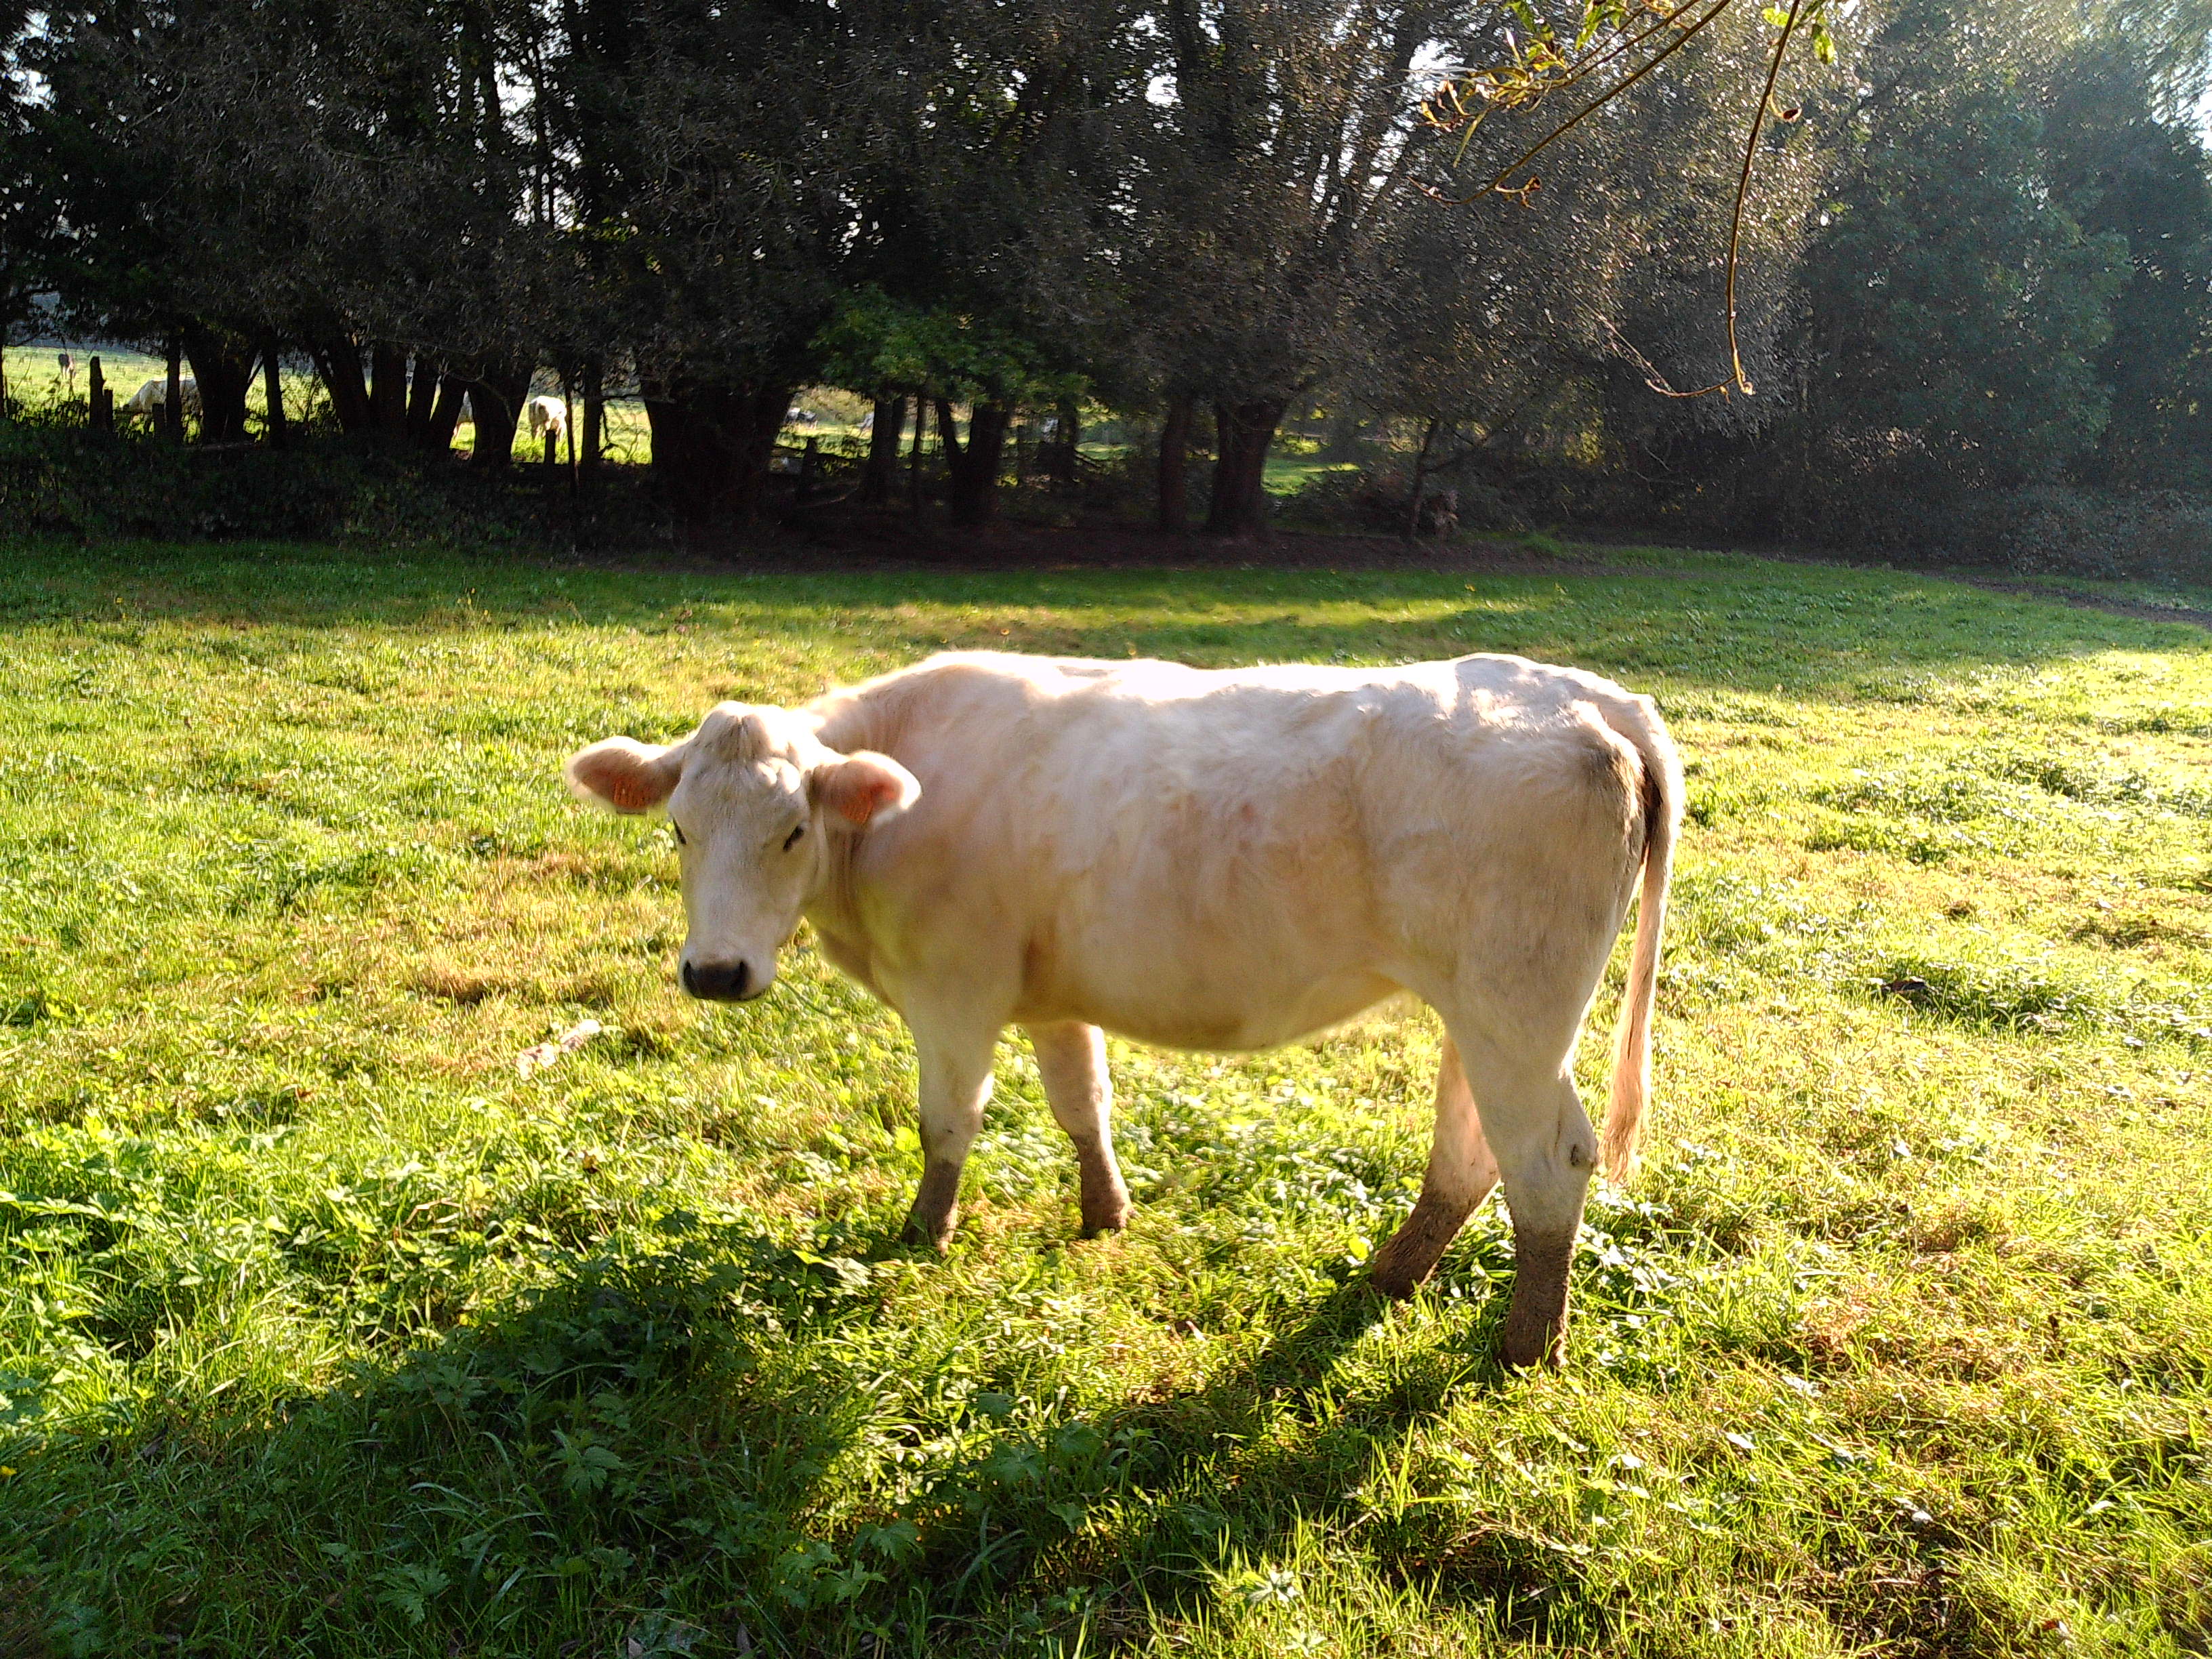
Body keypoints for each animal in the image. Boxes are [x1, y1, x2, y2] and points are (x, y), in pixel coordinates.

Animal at [565, 650, 1679, 1367]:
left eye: (793, 830)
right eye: (677, 829)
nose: (715, 971)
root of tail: (1589, 697)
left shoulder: (953, 989)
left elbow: (947, 1121)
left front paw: (923, 1236)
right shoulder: (1048, 994)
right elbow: (1081, 1101)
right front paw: (1105, 1214)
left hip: (1516, 1007)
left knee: (1548, 1158)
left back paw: (1526, 1347)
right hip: (1481, 1011)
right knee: (1469, 1146)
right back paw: (1388, 1278)